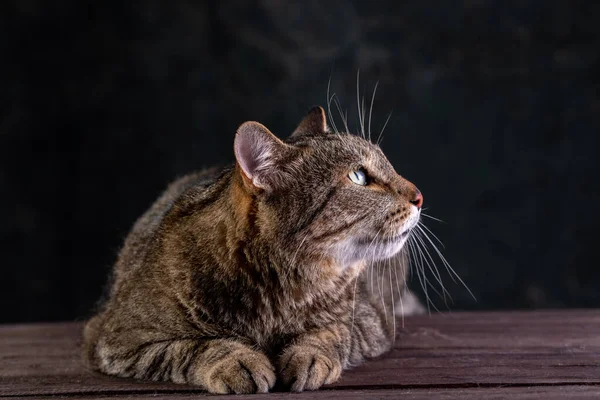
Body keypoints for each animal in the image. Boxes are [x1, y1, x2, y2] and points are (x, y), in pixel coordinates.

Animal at [82, 106, 424, 394]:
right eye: (359, 176)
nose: (419, 196)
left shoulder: (369, 321)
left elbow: (331, 332)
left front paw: (310, 355)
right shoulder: (118, 338)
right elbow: (190, 347)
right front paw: (235, 360)